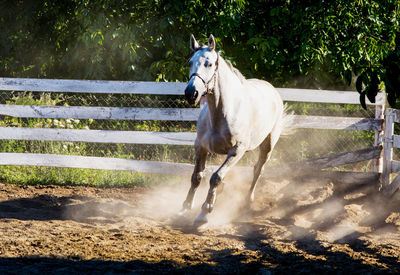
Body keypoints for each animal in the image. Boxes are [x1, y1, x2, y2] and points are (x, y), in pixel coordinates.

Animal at [180, 35, 288, 229]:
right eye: (190, 62)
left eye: (209, 64)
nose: (191, 93)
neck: (222, 113)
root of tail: (271, 88)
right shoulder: (201, 147)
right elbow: (197, 177)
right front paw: (185, 208)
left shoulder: (237, 151)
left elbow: (215, 177)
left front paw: (203, 214)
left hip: (267, 146)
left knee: (257, 170)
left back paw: (247, 201)